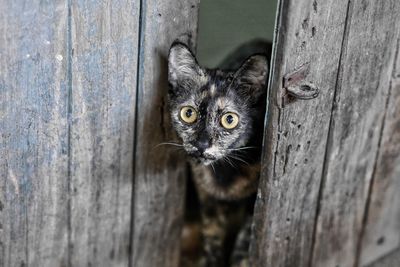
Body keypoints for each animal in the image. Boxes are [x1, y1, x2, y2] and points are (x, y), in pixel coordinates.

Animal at [166, 40, 268, 266]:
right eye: (188, 114)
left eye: (229, 119)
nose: (202, 144)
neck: (224, 173)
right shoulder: (208, 199)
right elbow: (212, 239)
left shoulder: (252, 203)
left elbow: (244, 241)